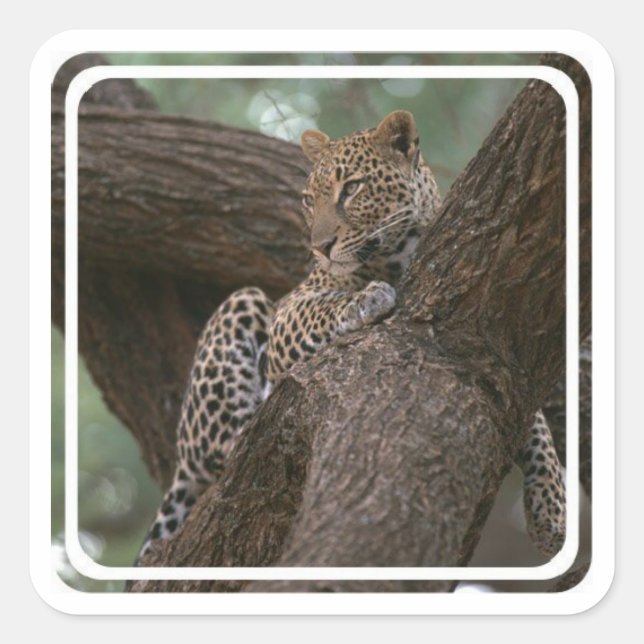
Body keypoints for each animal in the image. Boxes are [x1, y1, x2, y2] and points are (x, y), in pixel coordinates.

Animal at [136, 110, 565, 561]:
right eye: (310, 199)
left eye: (353, 188)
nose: (320, 247)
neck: (397, 254)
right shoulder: (290, 310)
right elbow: (323, 309)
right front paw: (366, 299)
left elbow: (535, 420)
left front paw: (551, 508)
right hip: (241, 306)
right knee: (226, 449)